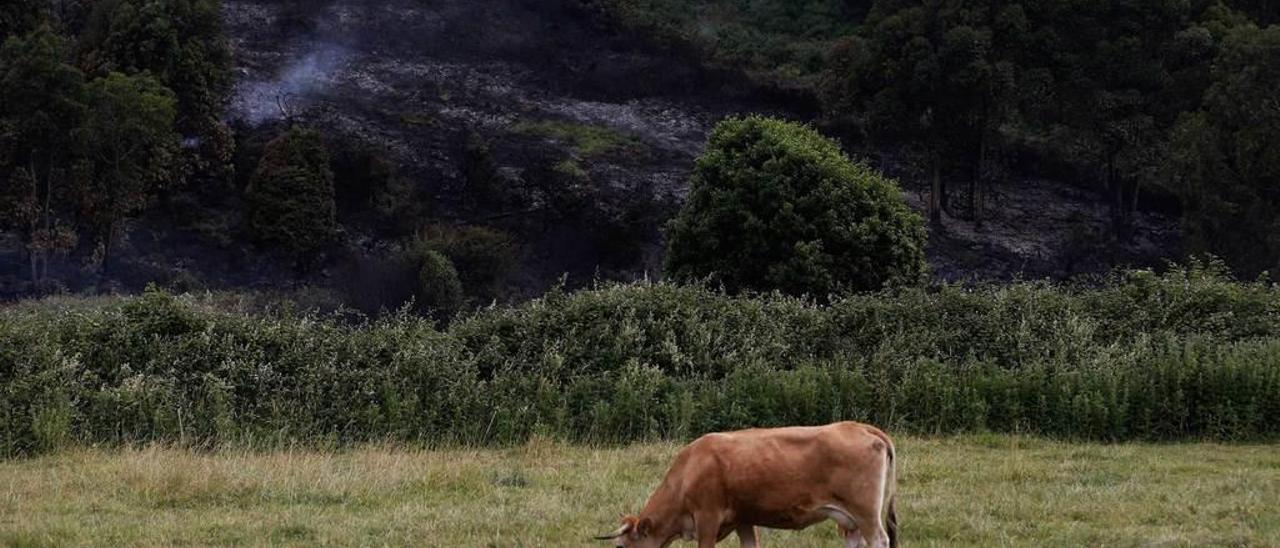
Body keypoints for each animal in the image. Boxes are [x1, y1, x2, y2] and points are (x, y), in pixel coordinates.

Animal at [593, 422, 896, 545]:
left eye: (620, 547)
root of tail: (857, 426)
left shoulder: (707, 518)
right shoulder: (743, 520)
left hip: (866, 514)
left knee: (880, 539)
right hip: (849, 521)